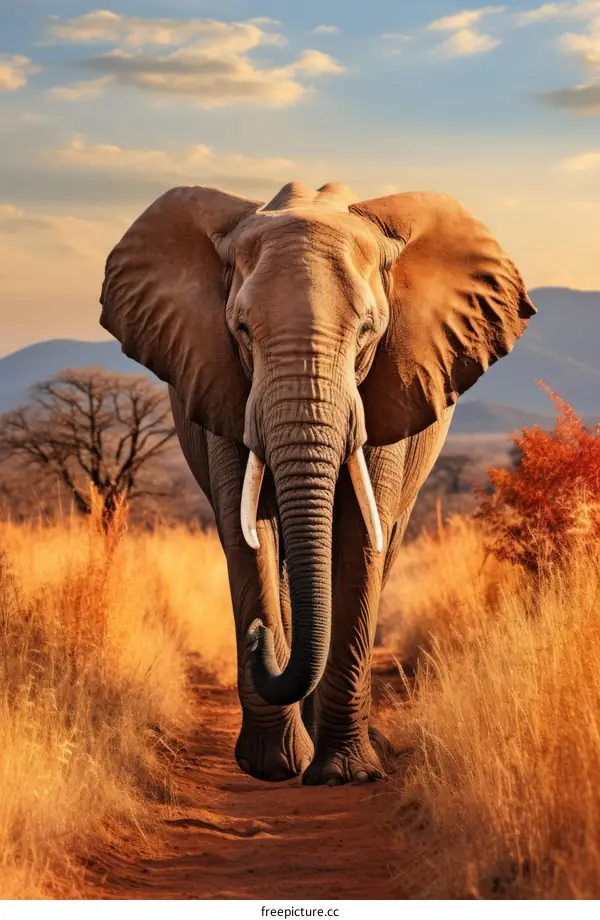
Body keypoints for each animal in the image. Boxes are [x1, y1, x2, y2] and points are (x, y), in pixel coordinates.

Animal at [99, 180, 536, 786]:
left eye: (369, 331)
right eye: (241, 331)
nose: (256, 640)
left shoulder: (390, 386)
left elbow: (356, 538)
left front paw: (344, 773)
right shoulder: (222, 384)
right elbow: (247, 535)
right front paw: (272, 767)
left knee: (383, 546)